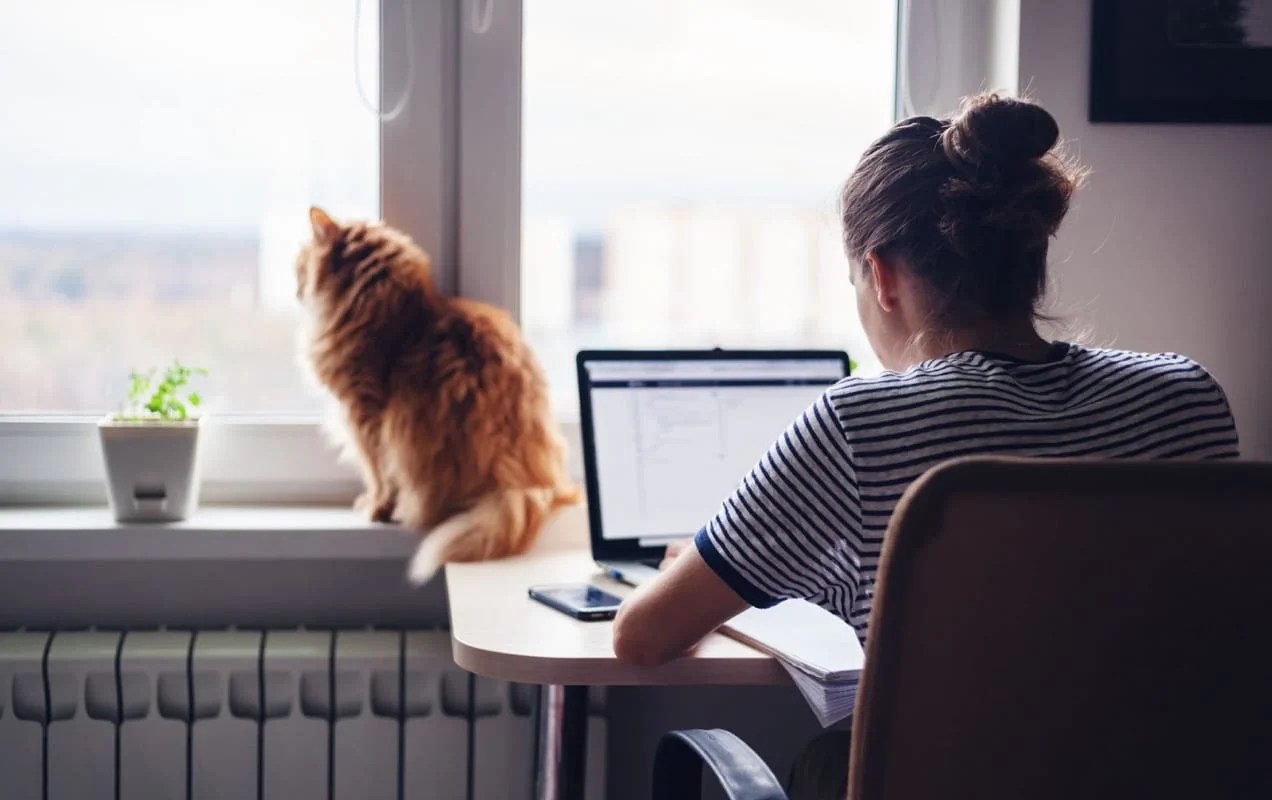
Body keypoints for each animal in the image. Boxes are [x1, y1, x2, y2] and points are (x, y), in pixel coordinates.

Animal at [295, 206, 580, 579]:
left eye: (300, 265)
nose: (296, 289)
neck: (390, 310)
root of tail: (522, 482)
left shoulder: (365, 414)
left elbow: (377, 473)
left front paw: (375, 508)